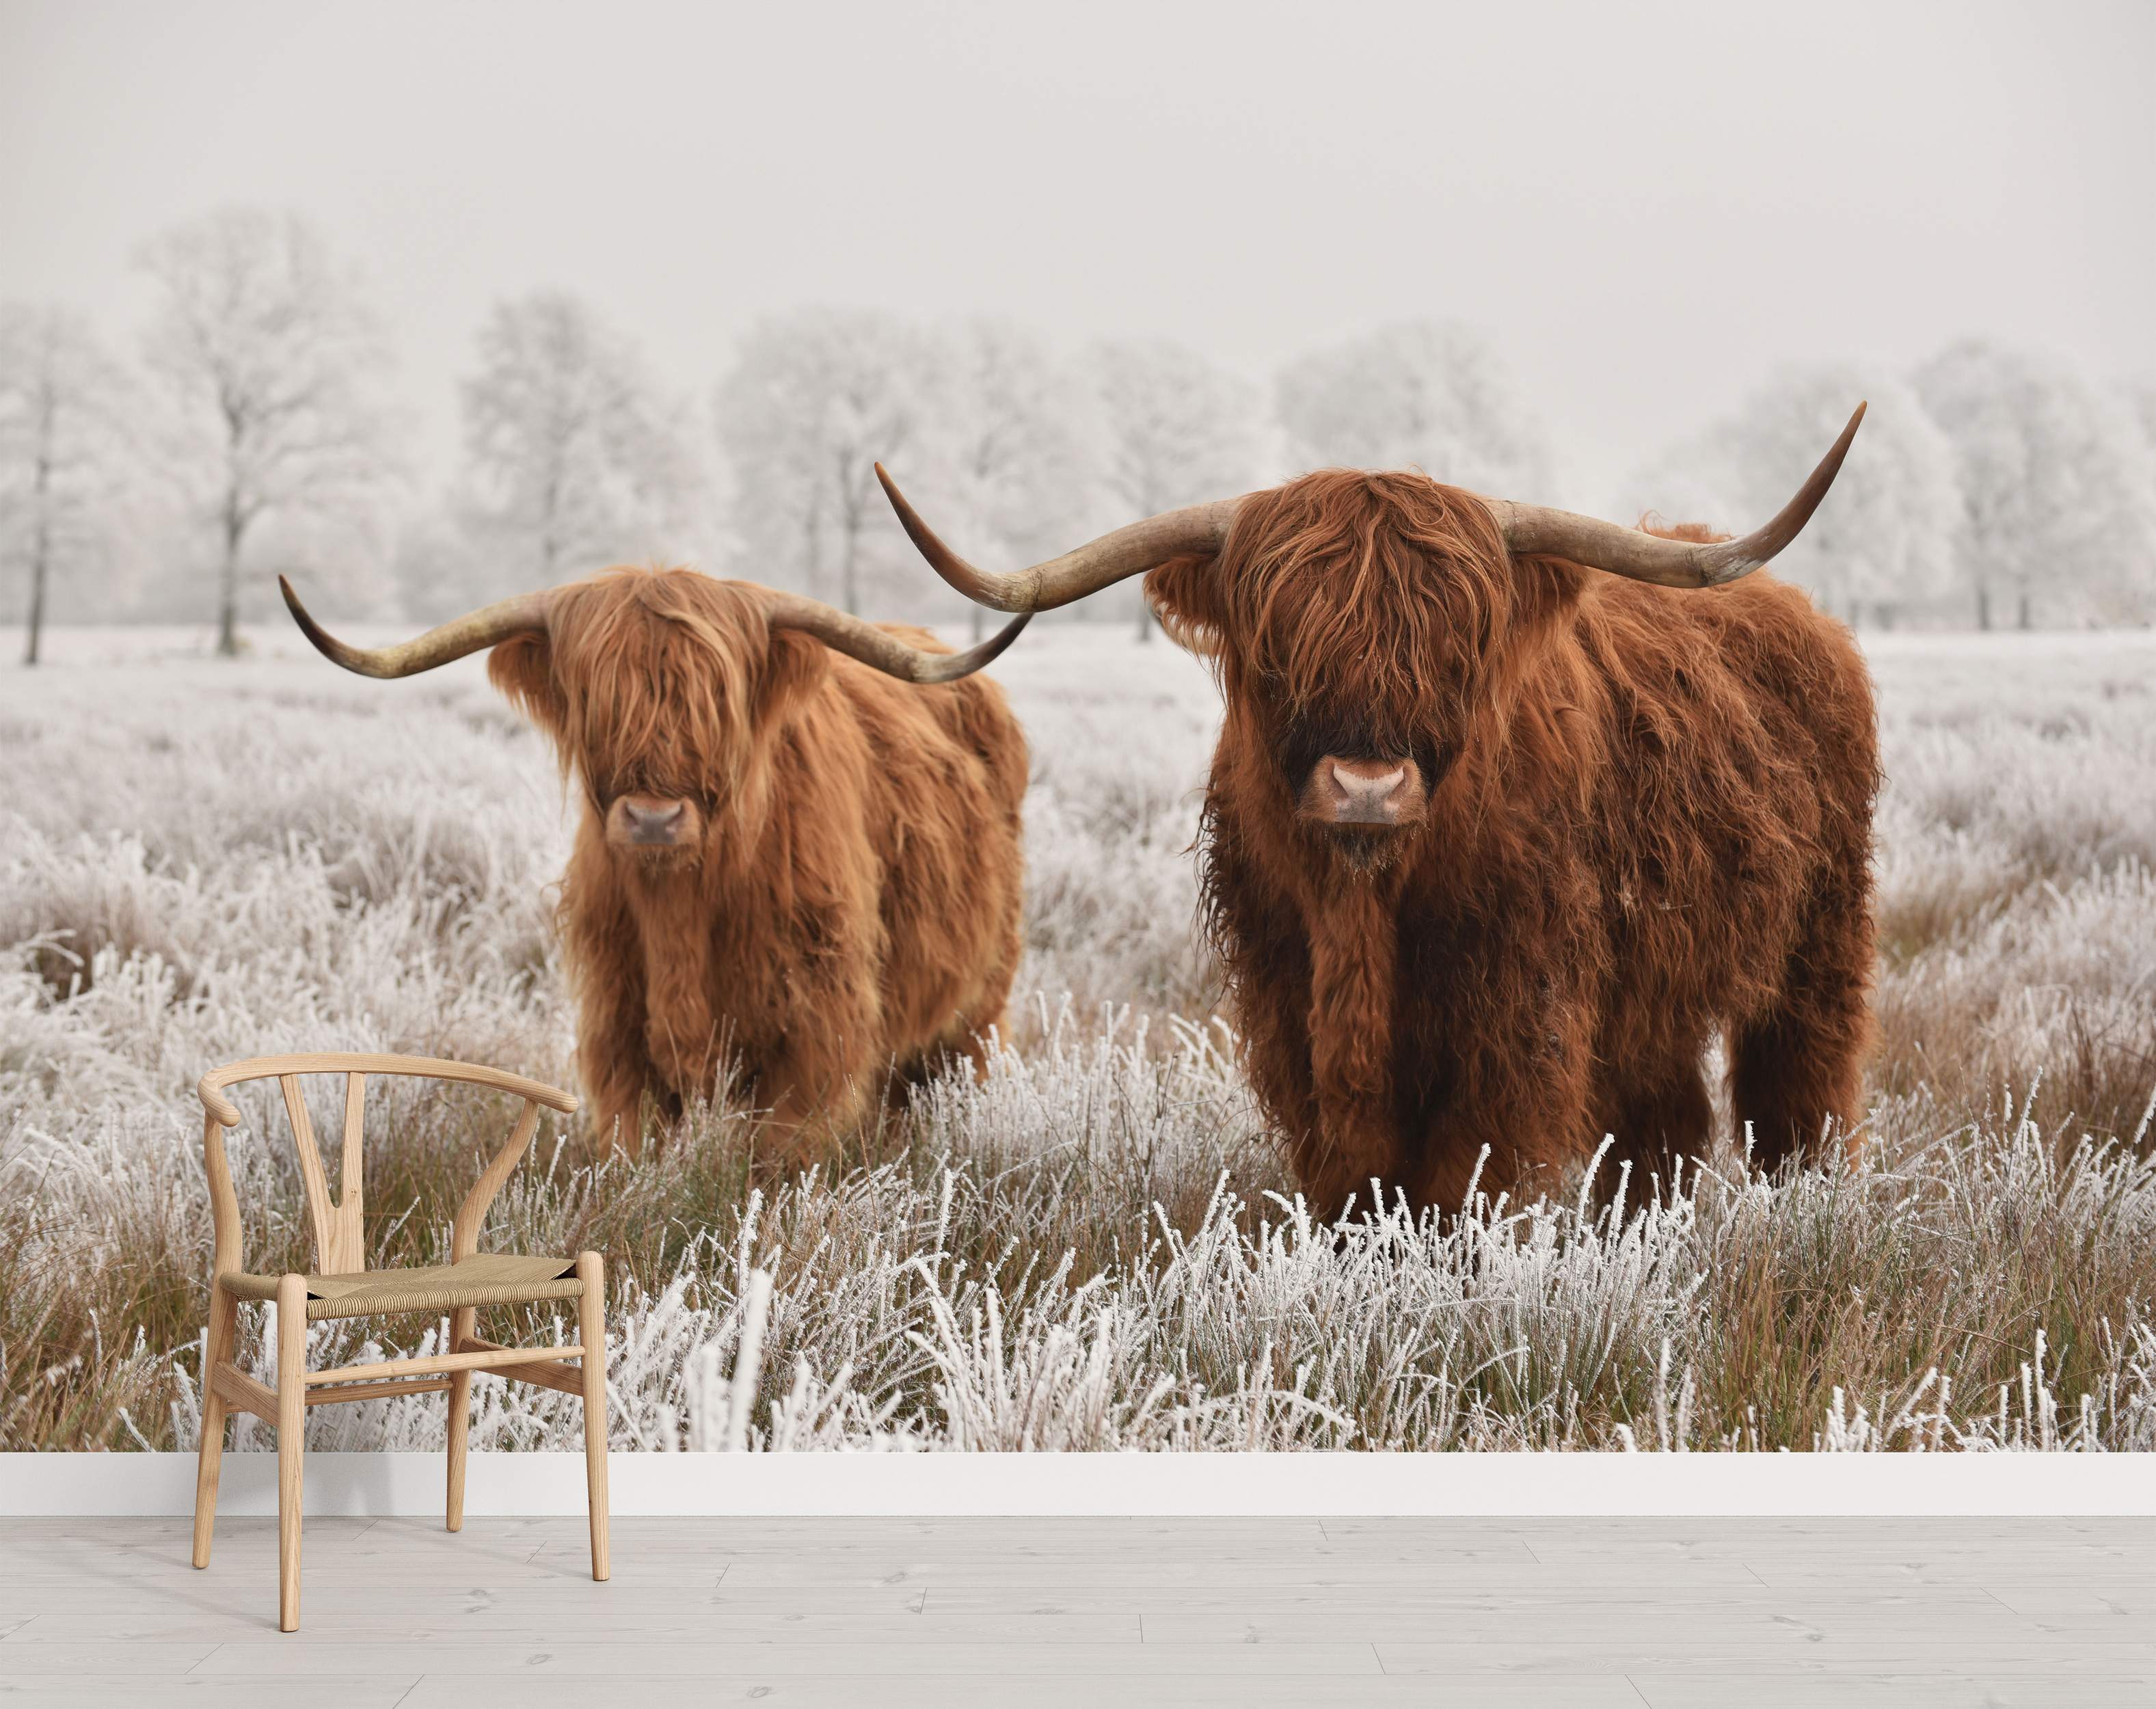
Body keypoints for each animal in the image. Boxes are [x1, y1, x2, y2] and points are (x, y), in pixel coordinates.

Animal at [282, 567, 1031, 1163]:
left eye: (716, 701)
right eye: (596, 699)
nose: (652, 818)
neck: (682, 908)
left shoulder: (816, 1027)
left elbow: (781, 1154)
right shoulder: (617, 1025)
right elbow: (634, 1147)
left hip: (976, 1007)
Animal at [876, 407, 1876, 1217]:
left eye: (1457, 648)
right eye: (1277, 647)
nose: (1365, 787)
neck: (1362, 911)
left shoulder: (1516, 1016)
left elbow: (1461, 1181)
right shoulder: (1289, 1005)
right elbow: (1352, 1180)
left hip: (1819, 940)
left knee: (1798, 1090)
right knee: (1663, 1122)